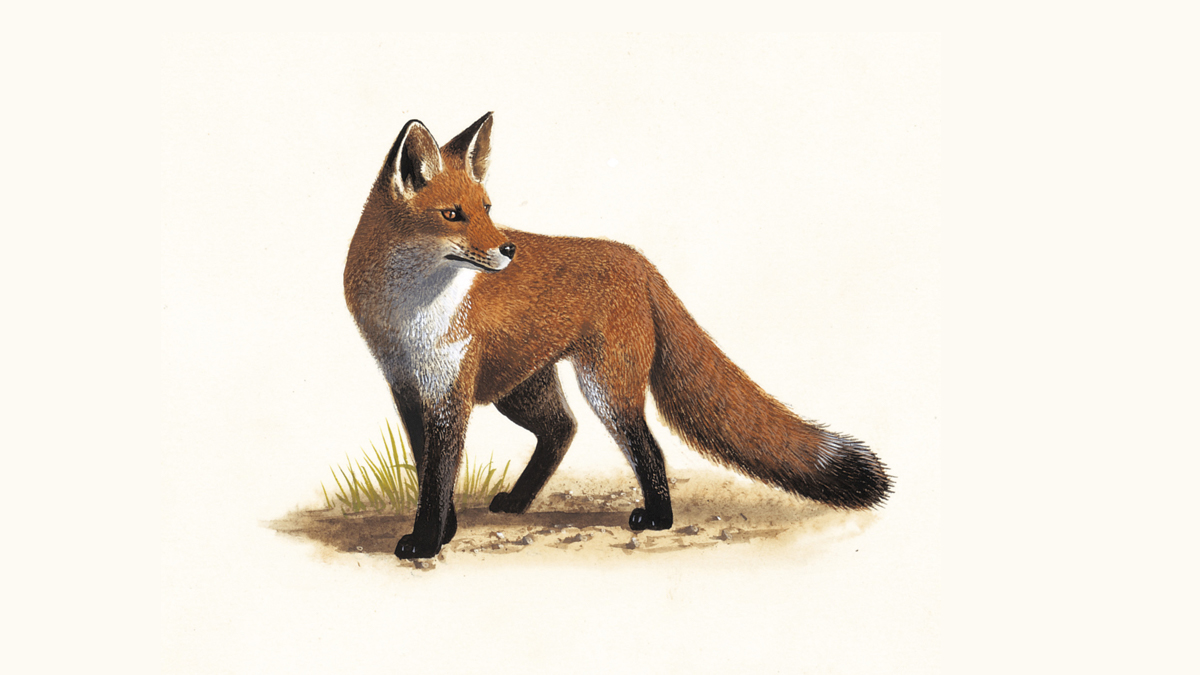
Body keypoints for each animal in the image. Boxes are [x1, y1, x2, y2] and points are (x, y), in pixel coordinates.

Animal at [344, 113, 891, 560]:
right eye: (452, 214)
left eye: (487, 207)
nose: (508, 249)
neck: (407, 314)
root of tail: (639, 261)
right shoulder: (409, 389)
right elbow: (428, 470)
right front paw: (445, 532)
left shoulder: (449, 393)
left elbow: (438, 478)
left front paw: (426, 542)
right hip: (521, 389)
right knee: (562, 429)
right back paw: (520, 500)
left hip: (604, 388)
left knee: (647, 448)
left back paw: (658, 519)